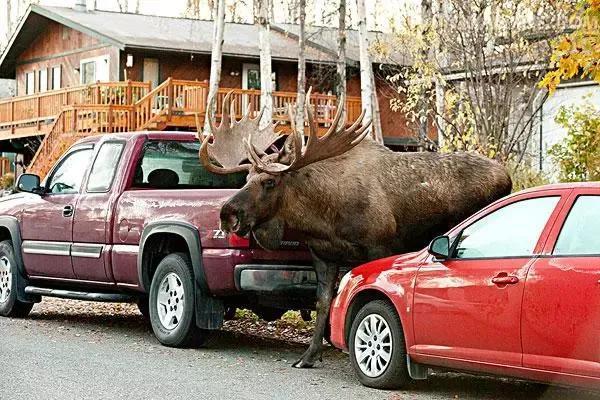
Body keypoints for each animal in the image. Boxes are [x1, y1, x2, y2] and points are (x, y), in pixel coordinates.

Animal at [200, 92, 510, 368]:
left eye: (269, 182)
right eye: (247, 177)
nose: (227, 214)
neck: (323, 216)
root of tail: (507, 175)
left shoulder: (379, 247)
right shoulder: (322, 255)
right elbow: (324, 303)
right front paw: (310, 355)